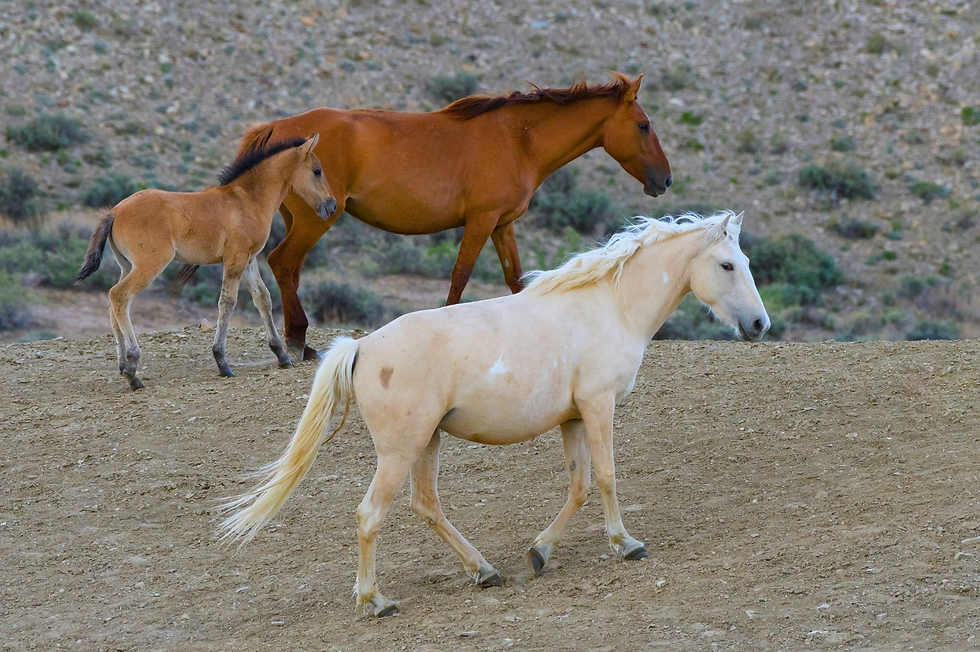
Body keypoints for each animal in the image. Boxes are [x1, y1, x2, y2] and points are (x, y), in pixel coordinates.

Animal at [75, 134, 337, 390]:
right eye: (317, 171)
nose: (332, 205)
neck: (246, 200)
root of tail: (115, 211)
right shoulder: (235, 259)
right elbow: (227, 303)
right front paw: (222, 362)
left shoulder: (249, 260)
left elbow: (263, 300)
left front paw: (281, 355)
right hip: (149, 265)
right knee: (119, 296)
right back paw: (132, 372)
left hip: (127, 266)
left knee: (114, 303)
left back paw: (123, 367)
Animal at [219, 211, 769, 617]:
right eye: (727, 265)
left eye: (745, 259)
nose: (760, 325)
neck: (608, 306)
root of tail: (362, 347)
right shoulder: (598, 406)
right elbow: (608, 477)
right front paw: (626, 544)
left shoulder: (573, 418)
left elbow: (579, 485)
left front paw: (541, 552)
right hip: (400, 451)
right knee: (370, 514)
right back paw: (377, 600)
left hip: (427, 442)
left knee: (426, 504)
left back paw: (484, 571)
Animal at [227, 72, 672, 361]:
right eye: (643, 125)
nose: (665, 180)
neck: (520, 139)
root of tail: (277, 127)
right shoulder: (481, 221)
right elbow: (460, 276)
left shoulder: (503, 224)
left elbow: (515, 280)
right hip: (314, 221)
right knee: (283, 263)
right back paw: (297, 342)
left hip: (300, 220)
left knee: (289, 270)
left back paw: (297, 340)